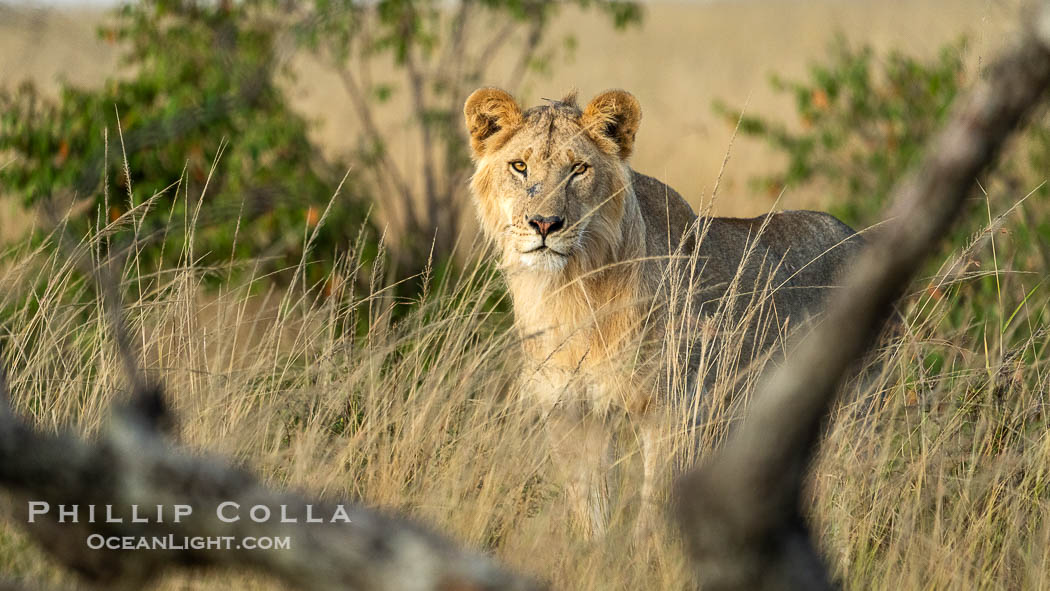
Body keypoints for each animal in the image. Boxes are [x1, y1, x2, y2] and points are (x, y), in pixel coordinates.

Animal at [463, 87, 862, 534]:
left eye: (579, 169)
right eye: (519, 166)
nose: (545, 224)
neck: (568, 293)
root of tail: (854, 234)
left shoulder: (674, 410)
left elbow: (654, 510)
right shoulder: (570, 413)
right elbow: (589, 508)